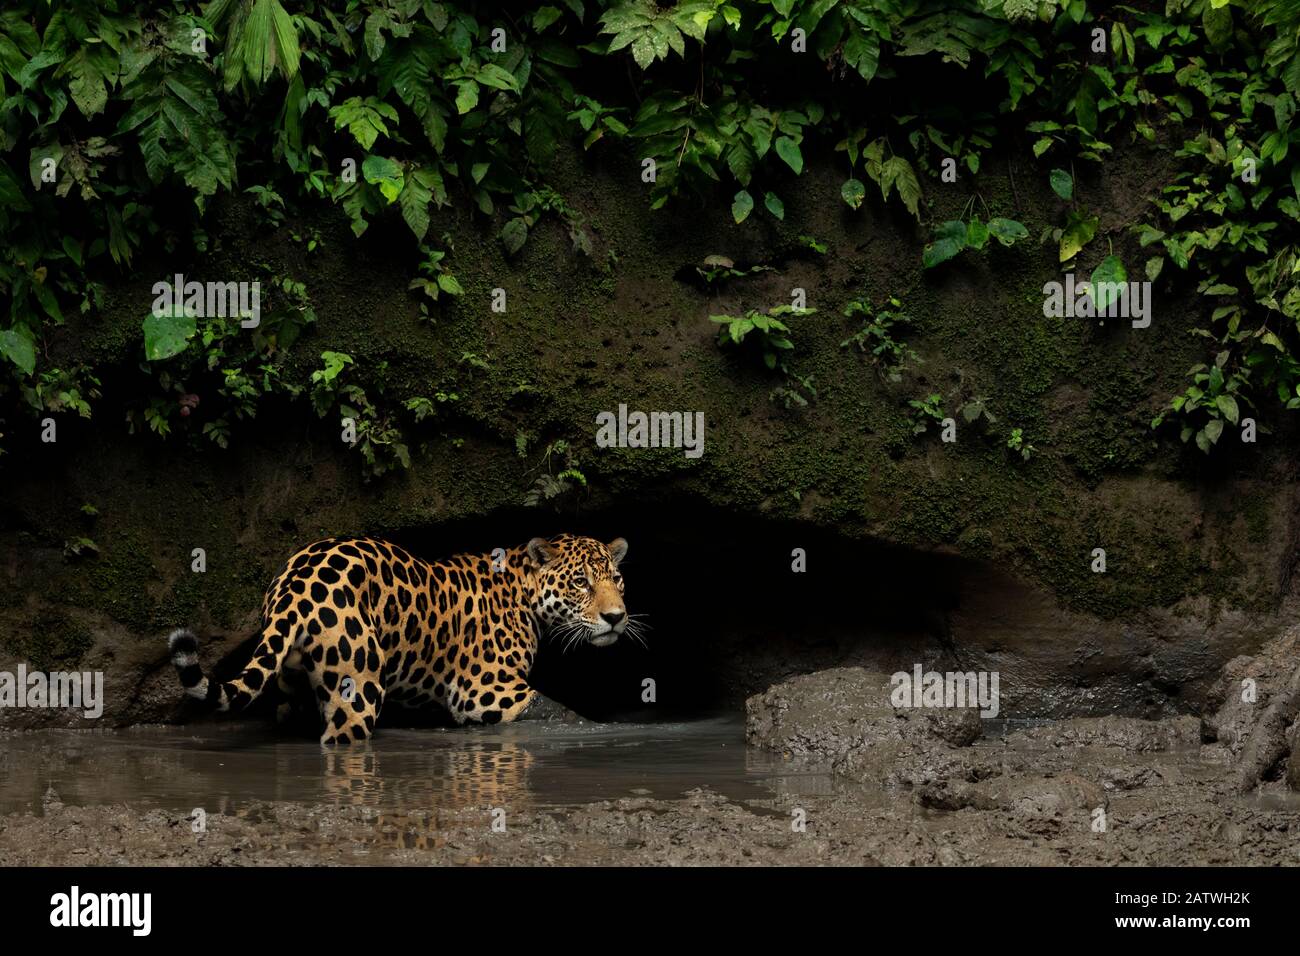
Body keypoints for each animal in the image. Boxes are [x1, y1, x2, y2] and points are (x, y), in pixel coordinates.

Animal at [167, 534, 631, 744]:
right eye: (581, 583)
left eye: (617, 579)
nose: (616, 617)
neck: (523, 593)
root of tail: (296, 584)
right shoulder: (487, 691)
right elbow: (558, 712)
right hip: (358, 690)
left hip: (292, 684)